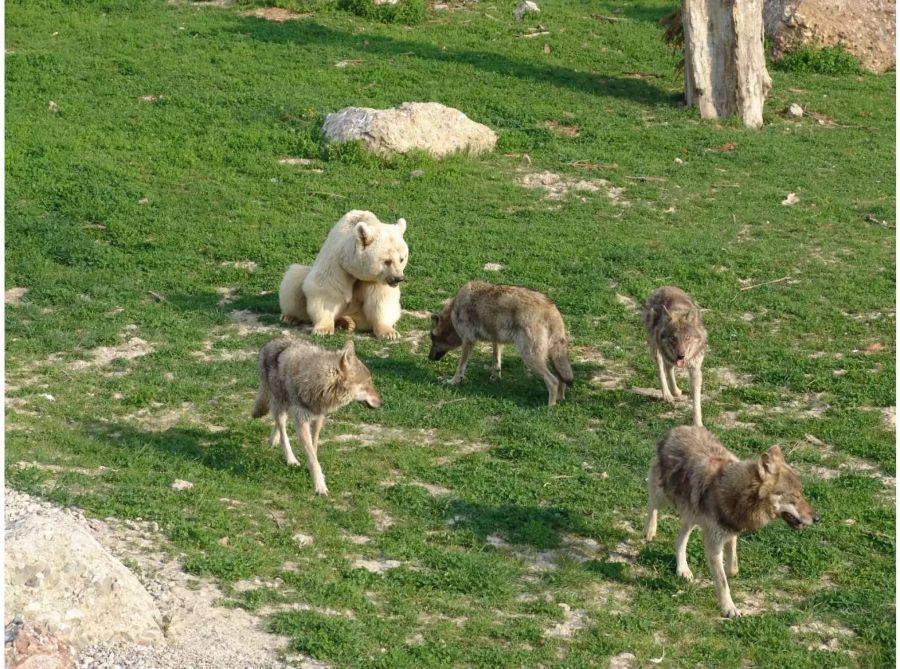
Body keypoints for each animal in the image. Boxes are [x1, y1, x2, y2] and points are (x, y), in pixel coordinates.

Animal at [251, 336, 382, 494]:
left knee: (279, 424)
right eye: (367, 384)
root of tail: (272, 341)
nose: (382, 402)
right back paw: (291, 459)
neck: (316, 382)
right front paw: (320, 487)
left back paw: (273, 440)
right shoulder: (302, 421)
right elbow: (312, 458)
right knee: (282, 430)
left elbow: (313, 449)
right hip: (280, 403)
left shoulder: (318, 418)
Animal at [280, 210, 410, 340]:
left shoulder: (375, 280)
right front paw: (323, 330)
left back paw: (348, 322)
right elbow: (326, 291)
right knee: (293, 278)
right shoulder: (336, 263)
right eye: (387, 261)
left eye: (402, 259)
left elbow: (381, 298)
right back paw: (289, 317)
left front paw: (390, 333)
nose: (398, 278)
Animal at [428, 280, 568, 404]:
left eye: (432, 338)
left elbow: (460, 368)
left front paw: (452, 382)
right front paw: (495, 379)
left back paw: (549, 408)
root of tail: (551, 308)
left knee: (553, 381)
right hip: (552, 358)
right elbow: (496, 362)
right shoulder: (496, 340)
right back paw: (560, 399)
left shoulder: (468, 341)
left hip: (529, 357)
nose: (429, 357)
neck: (454, 311)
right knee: (562, 379)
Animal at [644, 286, 708, 422]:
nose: (681, 356)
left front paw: (698, 423)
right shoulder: (667, 356)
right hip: (656, 350)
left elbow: (696, 402)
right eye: (673, 338)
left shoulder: (695, 368)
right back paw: (668, 395)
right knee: (662, 371)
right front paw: (672, 394)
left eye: (688, 338)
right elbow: (666, 373)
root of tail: (663, 287)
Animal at [644, 426, 820, 620]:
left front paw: (727, 573)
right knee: (651, 504)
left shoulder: (730, 532)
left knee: (680, 539)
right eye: (795, 496)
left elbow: (732, 567)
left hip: (691, 514)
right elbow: (722, 582)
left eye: (802, 494)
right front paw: (729, 609)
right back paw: (649, 532)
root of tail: (682, 427)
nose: (817, 518)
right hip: (663, 497)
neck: (739, 496)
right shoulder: (714, 543)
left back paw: (683, 570)